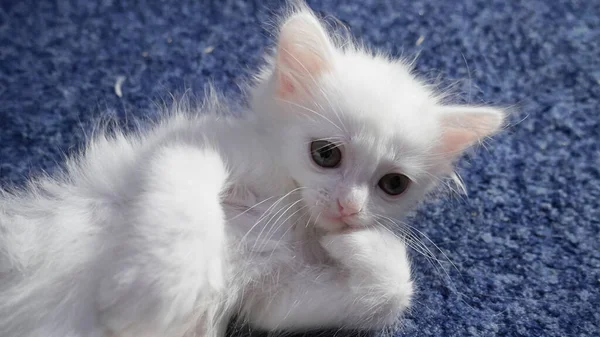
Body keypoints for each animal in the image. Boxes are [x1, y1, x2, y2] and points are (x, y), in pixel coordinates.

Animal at [0, 2, 506, 336]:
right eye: (325, 154)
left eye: (393, 184)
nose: (348, 208)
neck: (287, 207)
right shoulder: (184, 148)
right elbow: (188, 196)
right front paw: (157, 292)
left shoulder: (274, 301)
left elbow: (391, 288)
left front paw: (355, 243)